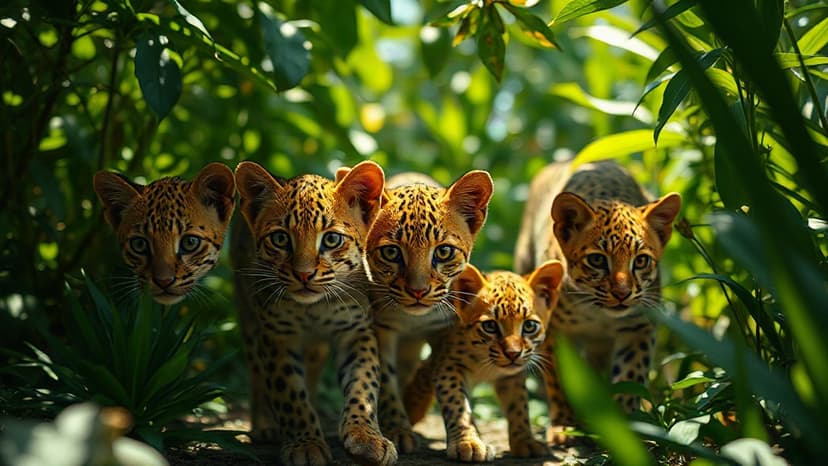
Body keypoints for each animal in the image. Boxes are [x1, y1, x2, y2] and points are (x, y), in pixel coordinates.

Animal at [366, 170, 494, 453]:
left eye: (444, 252)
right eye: (391, 252)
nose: (418, 291)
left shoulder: (446, 332)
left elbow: (452, 388)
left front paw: (468, 438)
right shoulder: (381, 331)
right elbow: (387, 383)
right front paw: (398, 429)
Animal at [402, 260, 563, 462]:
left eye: (529, 326)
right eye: (490, 326)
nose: (513, 353)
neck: (485, 363)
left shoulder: (511, 376)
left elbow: (519, 405)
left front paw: (524, 440)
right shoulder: (447, 365)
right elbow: (457, 404)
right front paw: (468, 443)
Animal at [514, 159, 682, 444]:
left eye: (641, 260)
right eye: (597, 260)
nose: (622, 293)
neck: (597, 314)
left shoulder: (639, 327)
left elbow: (630, 373)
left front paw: (626, 427)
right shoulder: (554, 332)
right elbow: (560, 379)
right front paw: (564, 425)